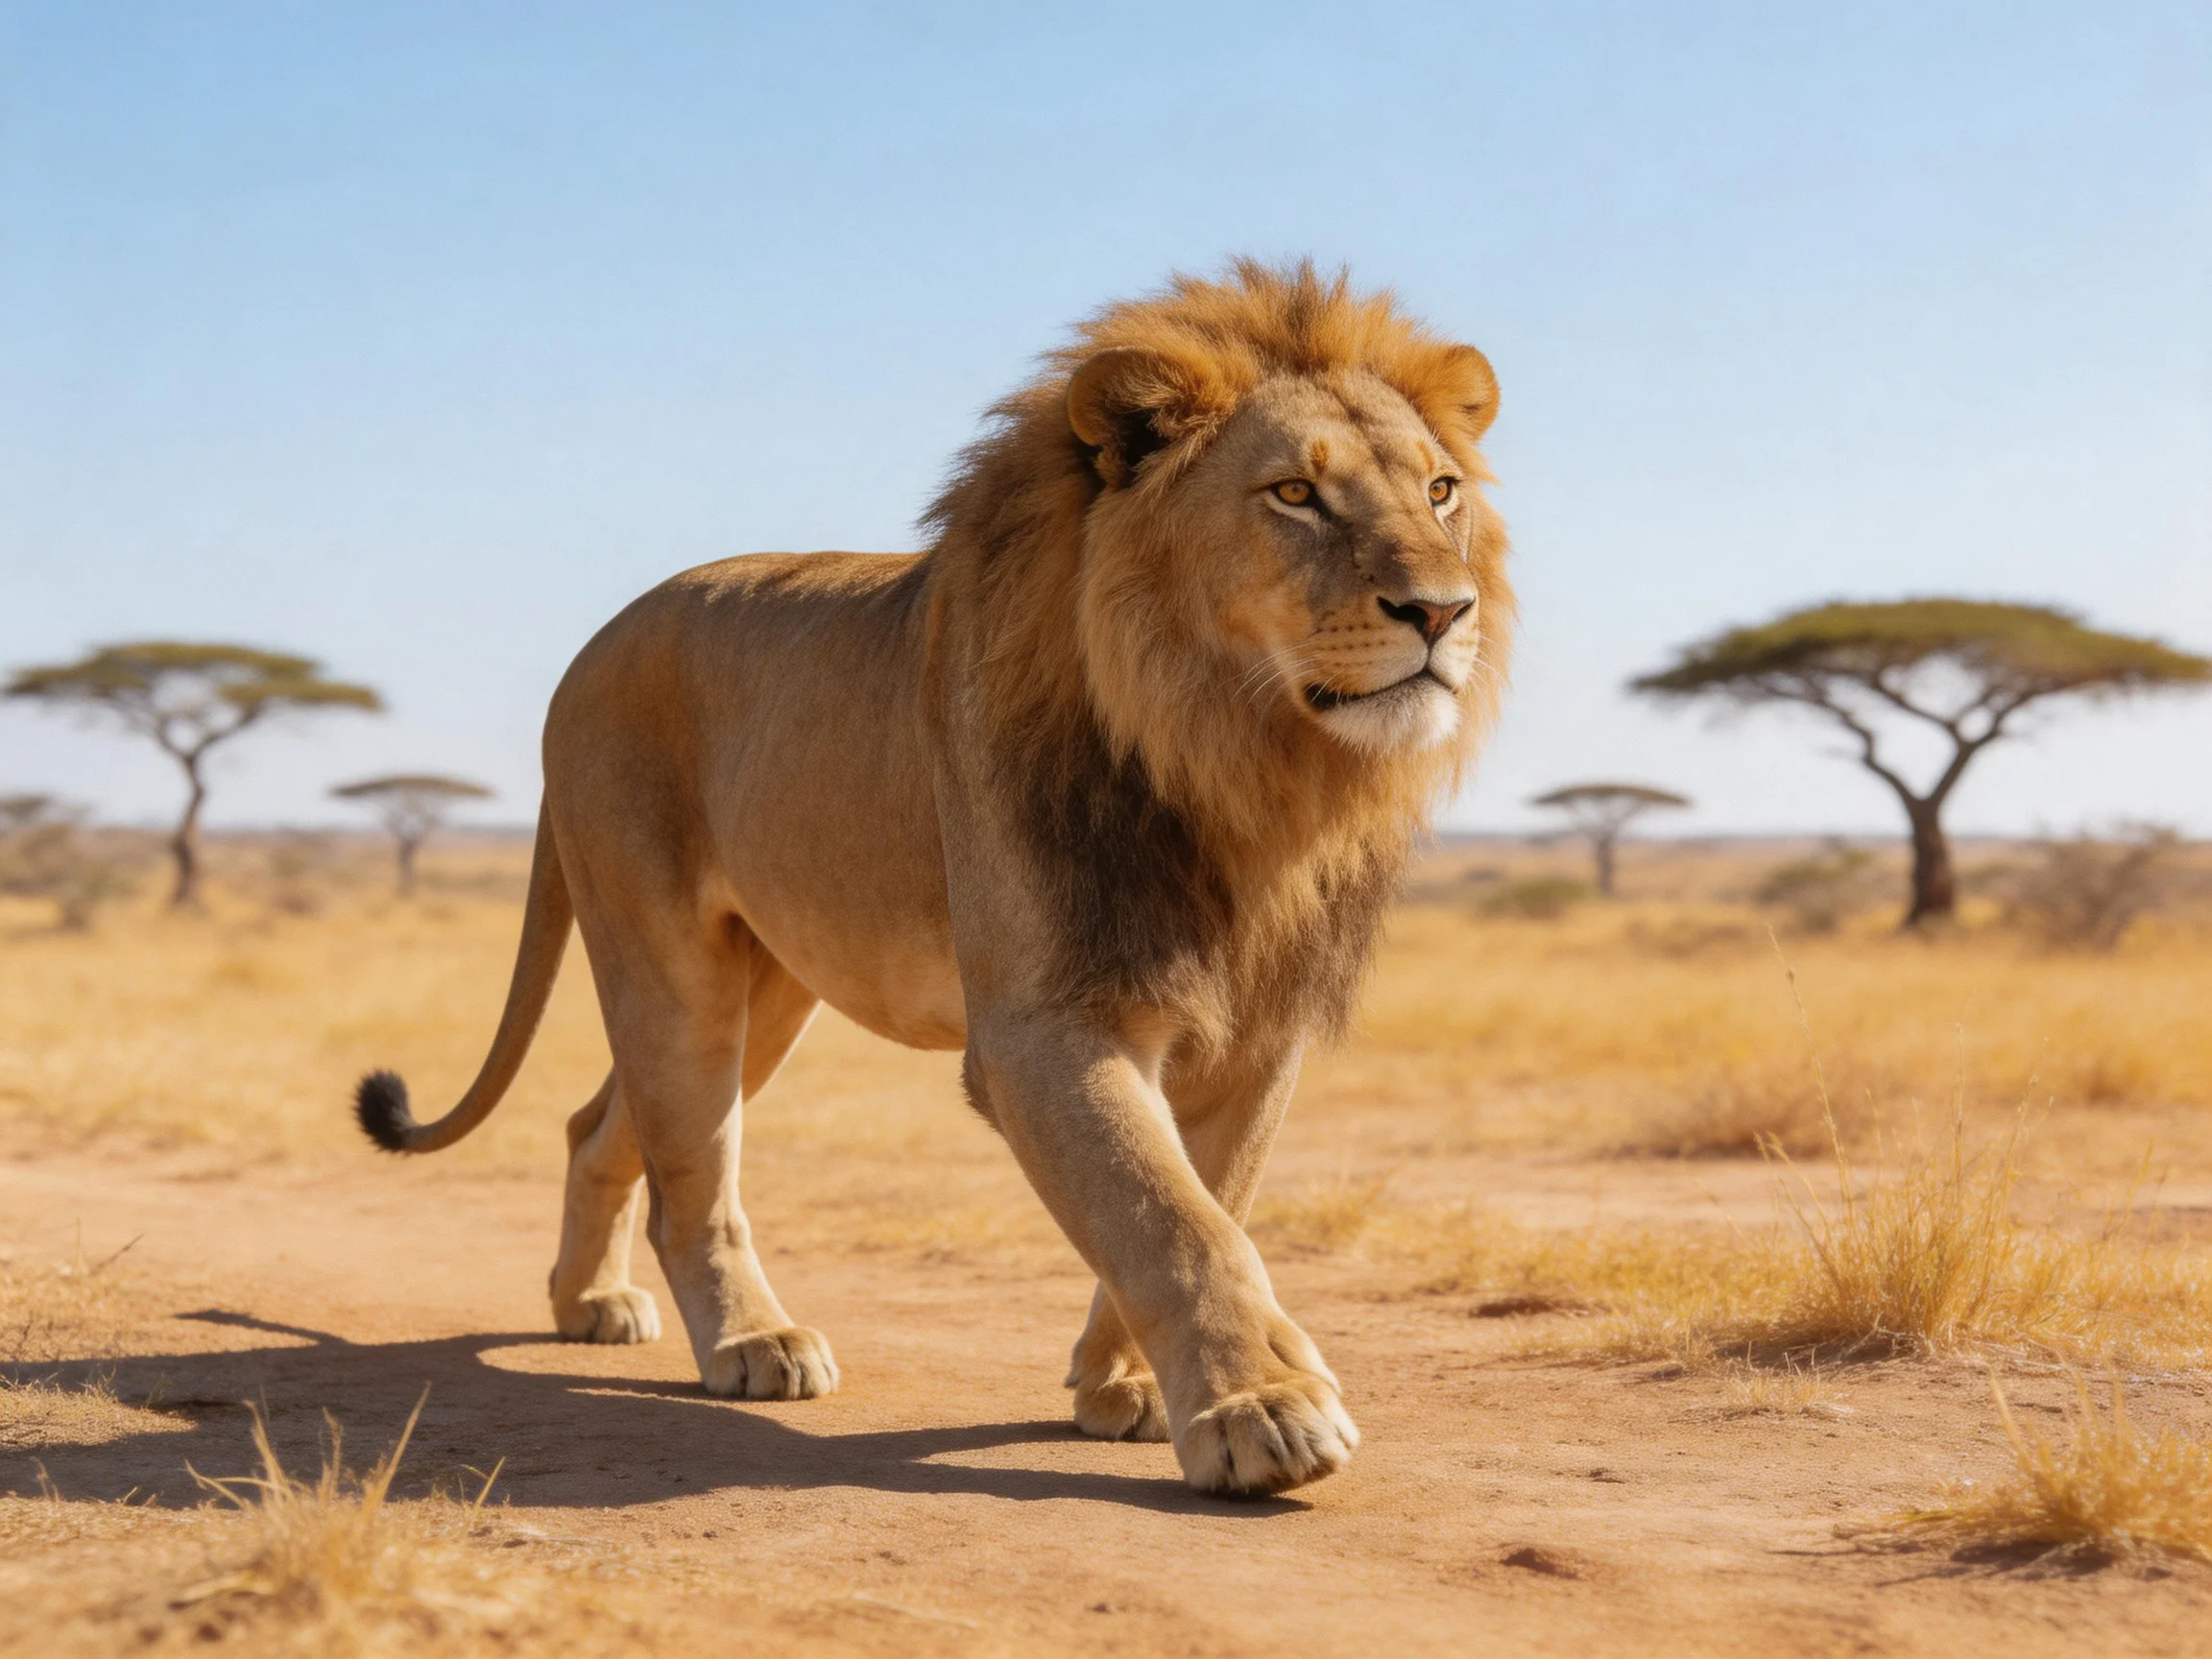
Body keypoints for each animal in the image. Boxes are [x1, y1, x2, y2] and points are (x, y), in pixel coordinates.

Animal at [353, 261, 1513, 1496]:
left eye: (1441, 491)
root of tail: (590, 649)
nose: (1443, 612)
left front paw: (1128, 1387)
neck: (1237, 760)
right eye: (1295, 493)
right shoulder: (1041, 1024)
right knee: (694, 1175)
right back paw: (754, 1341)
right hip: (668, 962)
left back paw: (589, 1303)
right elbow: (1172, 1217)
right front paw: (1263, 1409)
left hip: (772, 986)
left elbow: (1209, 1199)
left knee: (603, 1125)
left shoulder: (1258, 1032)